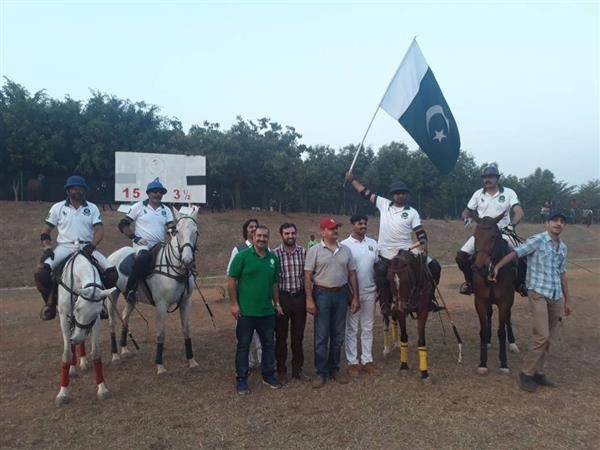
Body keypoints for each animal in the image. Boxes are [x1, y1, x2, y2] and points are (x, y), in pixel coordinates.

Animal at [56, 251, 117, 406]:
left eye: (95, 314)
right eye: (77, 309)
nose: (77, 338)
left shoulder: (95, 322)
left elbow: (95, 353)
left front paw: (102, 389)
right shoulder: (64, 318)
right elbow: (67, 353)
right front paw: (63, 393)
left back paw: (82, 361)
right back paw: (72, 368)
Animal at [106, 206, 200, 374]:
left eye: (196, 232)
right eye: (177, 231)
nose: (187, 260)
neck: (175, 270)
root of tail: (112, 255)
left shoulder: (185, 302)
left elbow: (186, 330)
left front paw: (192, 361)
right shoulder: (161, 305)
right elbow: (160, 334)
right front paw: (160, 365)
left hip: (131, 298)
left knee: (125, 316)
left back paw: (124, 349)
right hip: (112, 295)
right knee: (112, 322)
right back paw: (115, 355)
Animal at [474, 214, 516, 372]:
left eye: (493, 237)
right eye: (475, 235)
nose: (479, 267)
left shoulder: (505, 301)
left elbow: (501, 332)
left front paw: (503, 363)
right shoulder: (480, 301)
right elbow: (483, 330)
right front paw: (482, 363)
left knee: (508, 317)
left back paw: (513, 343)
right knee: (489, 315)